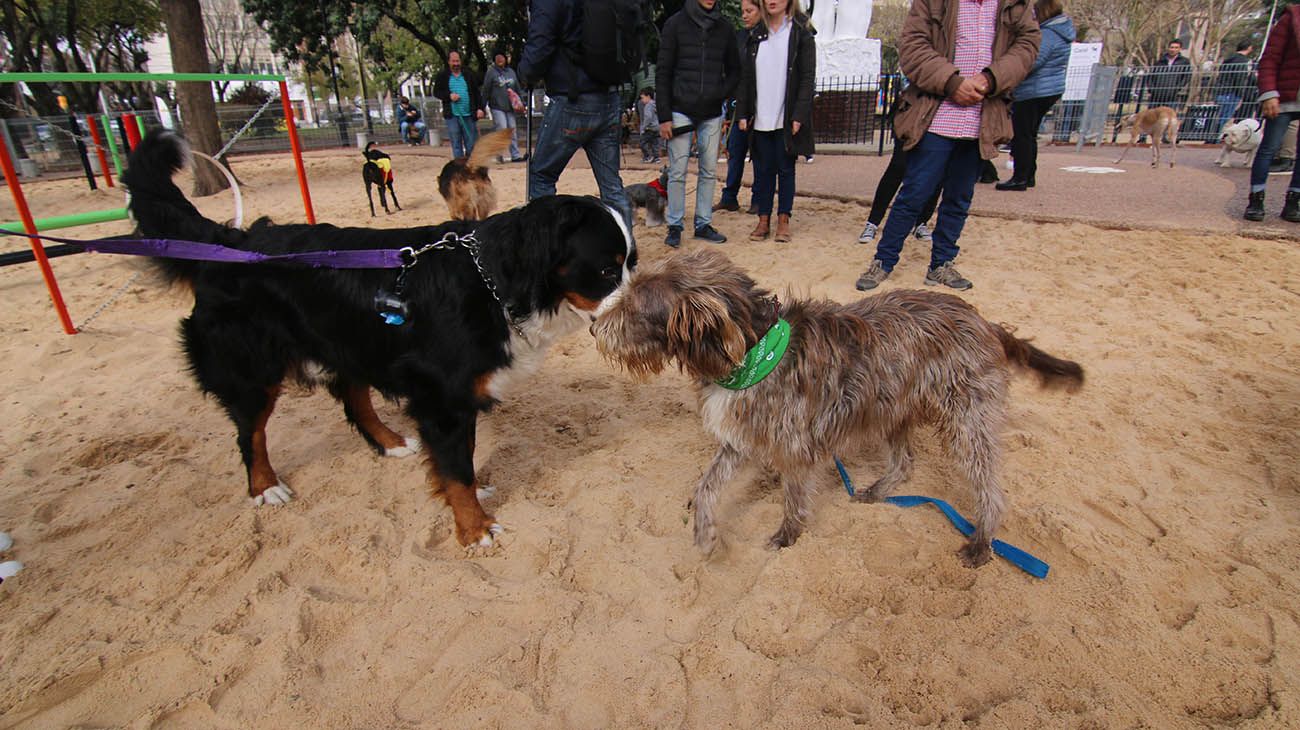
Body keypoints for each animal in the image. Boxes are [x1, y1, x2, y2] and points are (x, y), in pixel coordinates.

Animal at [122, 127, 634, 542]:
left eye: (632, 263)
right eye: (607, 271)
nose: (634, 307)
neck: (495, 280)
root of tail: (234, 242)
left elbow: (461, 461)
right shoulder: (442, 398)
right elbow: (457, 469)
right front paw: (474, 528)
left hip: (348, 341)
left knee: (352, 397)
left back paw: (389, 442)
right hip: (254, 368)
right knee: (251, 432)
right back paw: (265, 486)